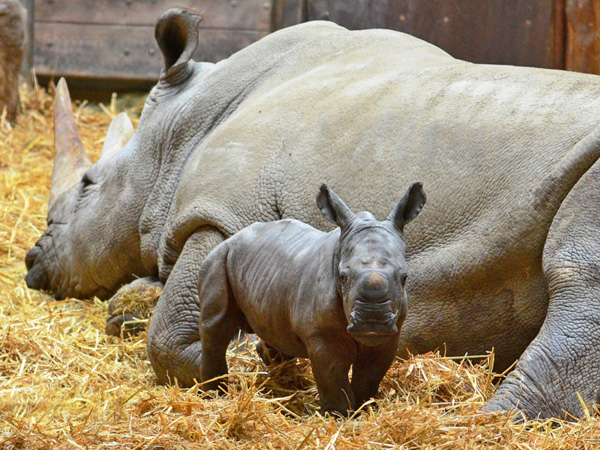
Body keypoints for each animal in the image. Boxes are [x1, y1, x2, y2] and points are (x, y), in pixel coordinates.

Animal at [185, 183, 424, 414]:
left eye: (404, 277)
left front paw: (364, 408)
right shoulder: (322, 334)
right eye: (343, 277)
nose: (372, 321)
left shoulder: (391, 333)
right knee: (216, 327)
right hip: (217, 259)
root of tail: (232, 237)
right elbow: (333, 375)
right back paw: (214, 394)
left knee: (273, 326)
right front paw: (338, 415)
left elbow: (370, 375)